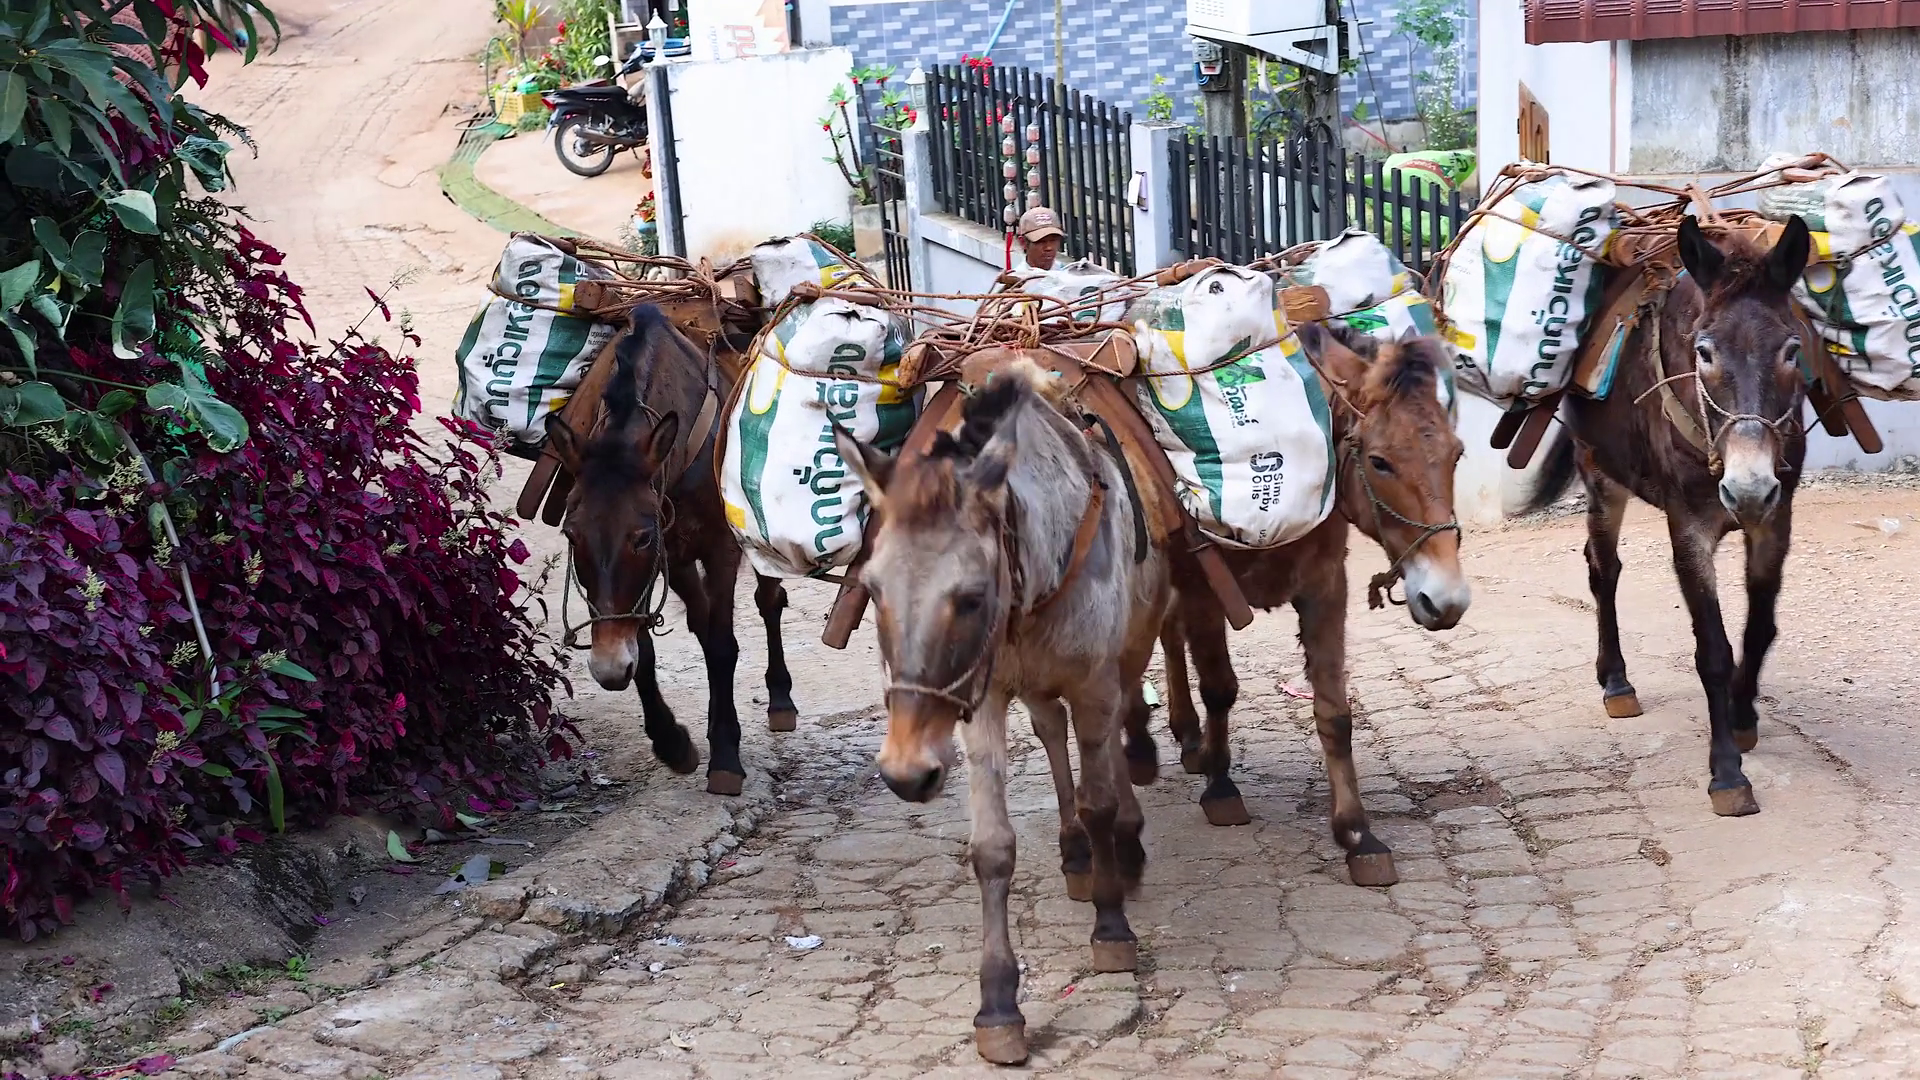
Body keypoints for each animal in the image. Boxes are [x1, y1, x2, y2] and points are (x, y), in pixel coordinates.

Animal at [544, 305, 800, 796]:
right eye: (571, 535)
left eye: (640, 537)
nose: (606, 670)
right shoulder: (668, 559)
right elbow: (649, 649)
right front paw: (674, 743)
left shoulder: (717, 548)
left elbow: (722, 644)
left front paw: (725, 755)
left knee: (768, 601)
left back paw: (780, 698)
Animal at [833, 357, 1170, 1066]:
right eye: (872, 589)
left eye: (969, 597)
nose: (905, 772)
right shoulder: (980, 701)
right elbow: (992, 848)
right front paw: (997, 1005)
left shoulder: (1093, 685)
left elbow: (1101, 799)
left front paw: (1111, 925)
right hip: (1035, 689)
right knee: (1050, 734)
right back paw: (1075, 852)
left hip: (1126, 657)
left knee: (1114, 747)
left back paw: (1120, 846)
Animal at [1127, 322, 1471, 889]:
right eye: (1379, 461)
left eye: (1457, 453)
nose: (1446, 601)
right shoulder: (1203, 589)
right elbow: (1219, 688)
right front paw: (1222, 788)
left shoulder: (1326, 587)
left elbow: (1335, 713)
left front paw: (1358, 835)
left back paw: (1187, 739)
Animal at [1517, 214, 1813, 817]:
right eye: (1704, 352)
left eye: (1793, 350)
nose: (1747, 488)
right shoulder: (1689, 529)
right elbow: (1713, 651)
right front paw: (1727, 774)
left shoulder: (1776, 519)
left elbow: (1760, 628)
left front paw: (1743, 717)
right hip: (1600, 474)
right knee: (1602, 570)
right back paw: (1616, 683)